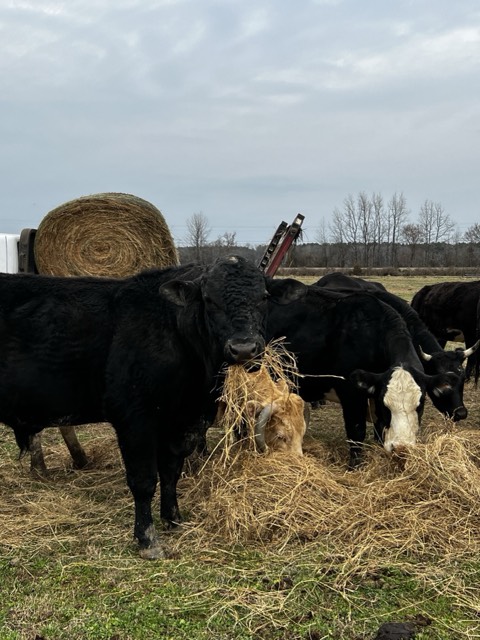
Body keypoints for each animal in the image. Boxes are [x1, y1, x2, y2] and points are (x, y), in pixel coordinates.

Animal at [0, 256, 305, 558]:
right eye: (208, 299)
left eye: (263, 296)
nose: (243, 348)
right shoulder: (135, 419)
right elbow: (144, 480)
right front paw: (147, 539)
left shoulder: (181, 421)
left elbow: (171, 472)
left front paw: (173, 518)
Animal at [266, 281, 461, 468]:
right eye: (386, 404)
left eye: (420, 404)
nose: (401, 448)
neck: (371, 334)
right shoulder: (351, 394)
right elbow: (356, 431)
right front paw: (355, 466)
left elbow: (380, 430)